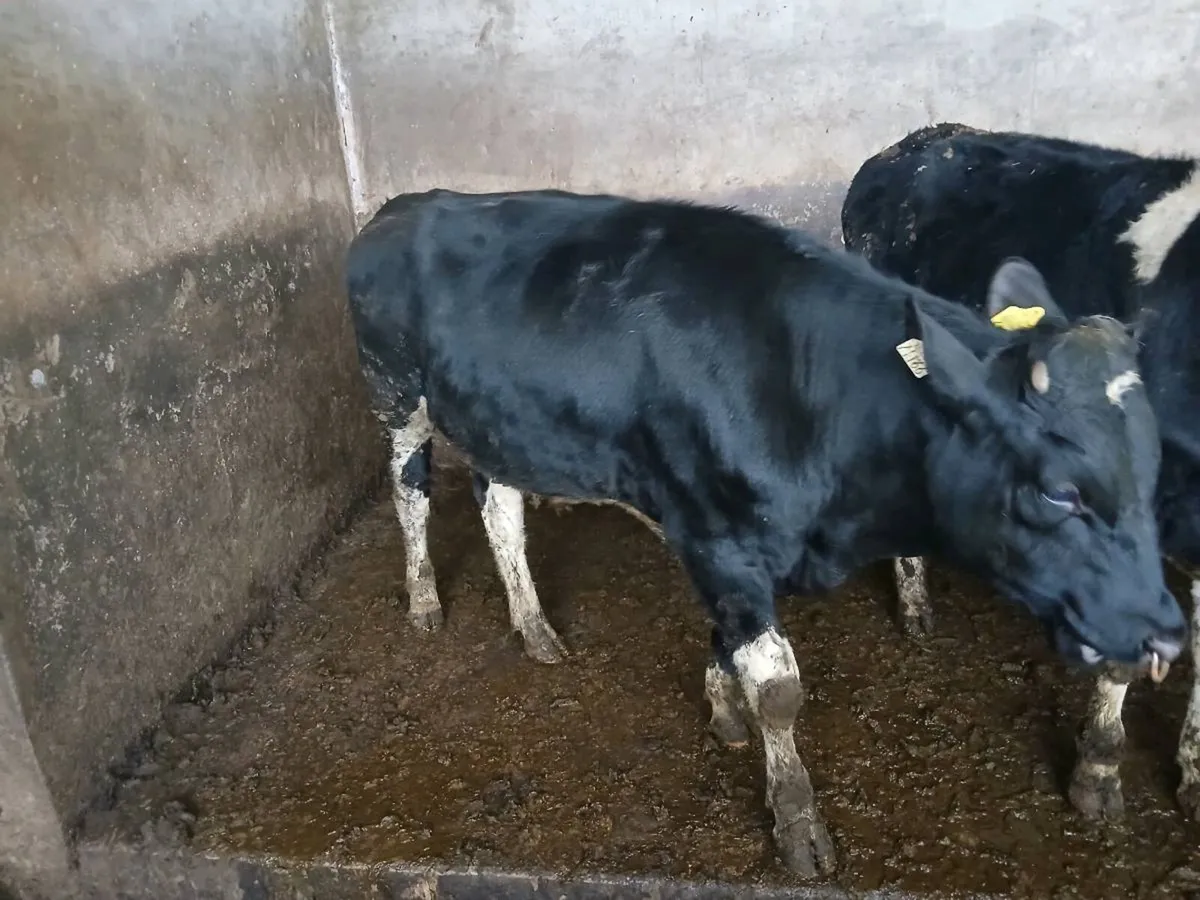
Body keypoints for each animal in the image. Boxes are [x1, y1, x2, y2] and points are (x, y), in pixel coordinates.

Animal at [345, 187, 1186, 877]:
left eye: (1152, 469)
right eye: (1059, 491)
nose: (1165, 634)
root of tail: (404, 205)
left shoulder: (719, 545)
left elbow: (729, 647)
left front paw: (722, 710)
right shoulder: (722, 543)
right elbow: (779, 690)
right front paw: (798, 828)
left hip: (497, 424)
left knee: (500, 513)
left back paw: (533, 626)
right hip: (396, 396)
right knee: (413, 498)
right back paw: (424, 603)